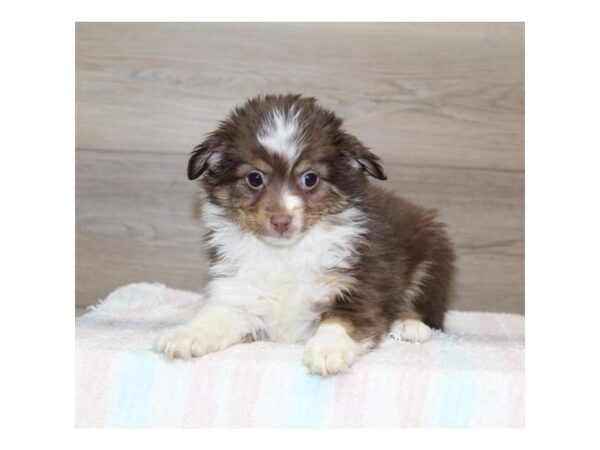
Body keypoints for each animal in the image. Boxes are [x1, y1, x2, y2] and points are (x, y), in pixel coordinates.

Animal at [155, 95, 454, 376]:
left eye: (310, 178)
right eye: (254, 178)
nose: (281, 221)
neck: (285, 253)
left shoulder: (360, 286)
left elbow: (340, 322)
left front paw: (327, 349)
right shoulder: (240, 294)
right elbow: (215, 318)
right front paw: (186, 334)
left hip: (432, 257)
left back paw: (409, 324)